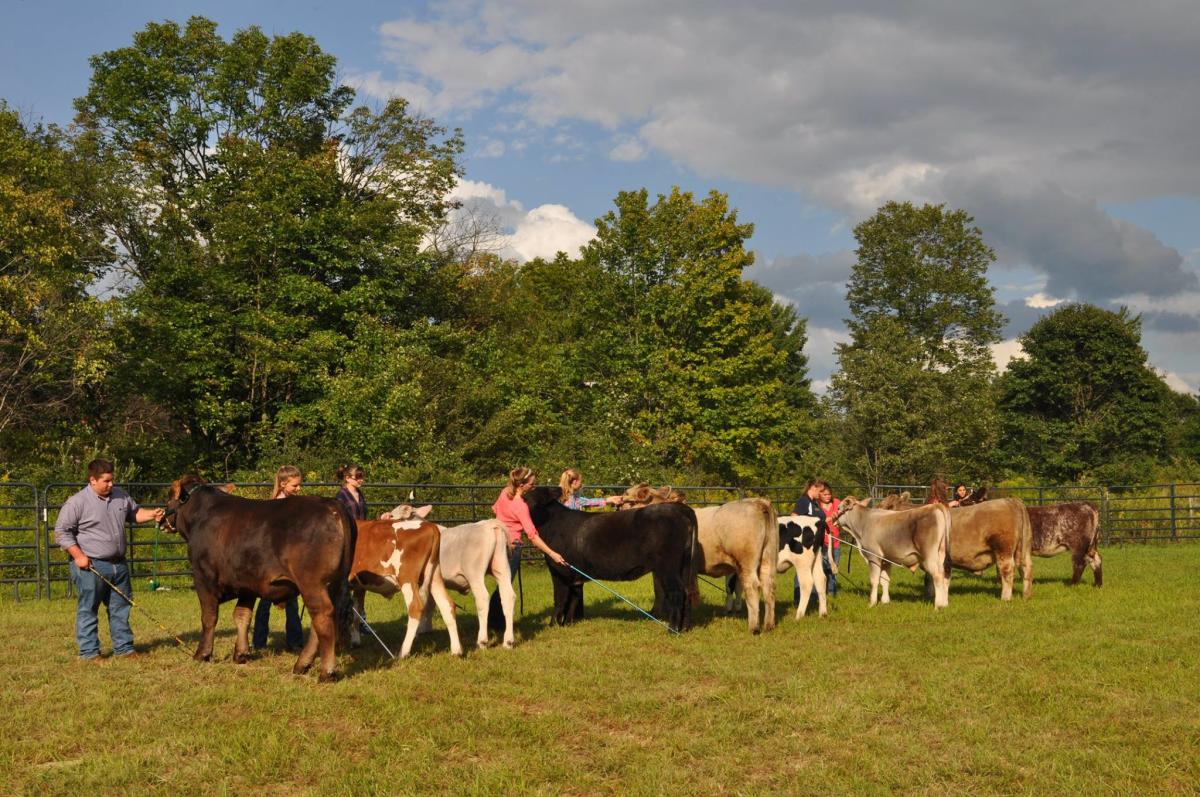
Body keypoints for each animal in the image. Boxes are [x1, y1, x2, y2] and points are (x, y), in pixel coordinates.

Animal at [162, 475, 355, 681]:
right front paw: (241, 653)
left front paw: (202, 653)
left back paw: (326, 671)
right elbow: (242, 616)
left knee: (323, 615)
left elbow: (209, 616)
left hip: (312, 583)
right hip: (333, 583)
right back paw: (302, 664)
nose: (161, 519)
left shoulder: (203, 577)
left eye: (169, 497)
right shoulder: (247, 583)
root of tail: (330, 503)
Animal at [348, 506, 463, 657]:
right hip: (434, 576)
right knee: (447, 605)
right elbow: (356, 612)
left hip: (407, 578)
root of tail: (430, 526)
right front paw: (355, 641)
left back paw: (403, 652)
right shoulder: (359, 585)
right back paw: (456, 650)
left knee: (416, 607)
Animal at [520, 482, 700, 633]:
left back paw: (673, 629)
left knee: (677, 592)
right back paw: (685, 628)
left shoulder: (559, 570)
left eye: (527, 498)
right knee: (687, 592)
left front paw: (552, 625)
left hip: (668, 567)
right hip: (684, 565)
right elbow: (573, 598)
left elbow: (560, 599)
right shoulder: (575, 575)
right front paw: (567, 624)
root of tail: (680, 509)